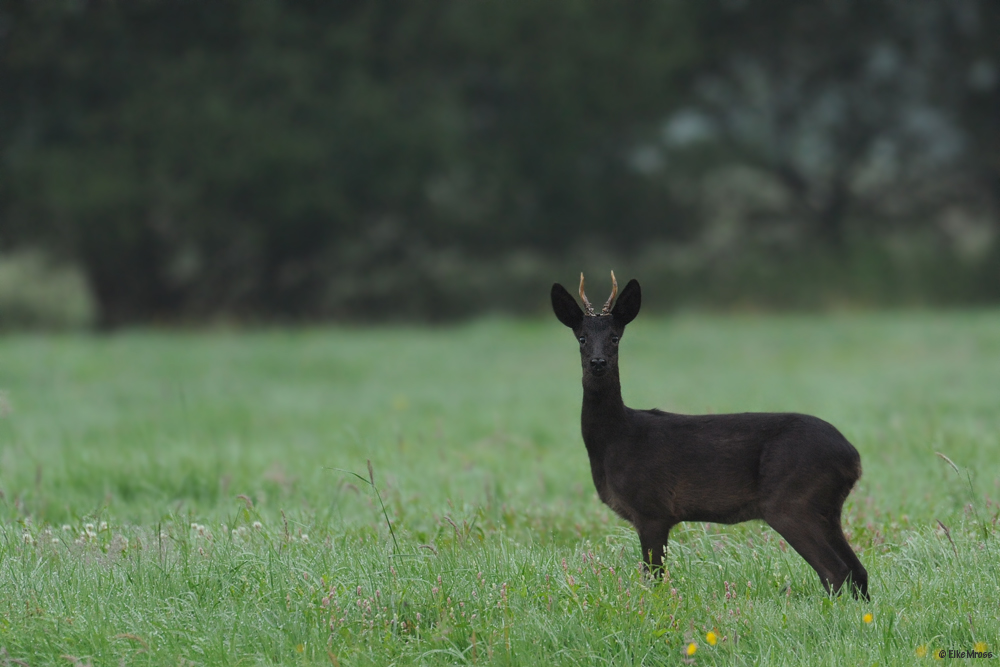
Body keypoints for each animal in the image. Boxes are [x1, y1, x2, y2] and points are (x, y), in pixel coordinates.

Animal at [552, 272, 872, 600]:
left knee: (836, 571)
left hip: (792, 499)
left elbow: (654, 578)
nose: (598, 362)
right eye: (582, 338)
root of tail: (853, 457)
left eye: (615, 337)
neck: (615, 440)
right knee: (858, 571)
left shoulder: (652, 508)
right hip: (826, 508)